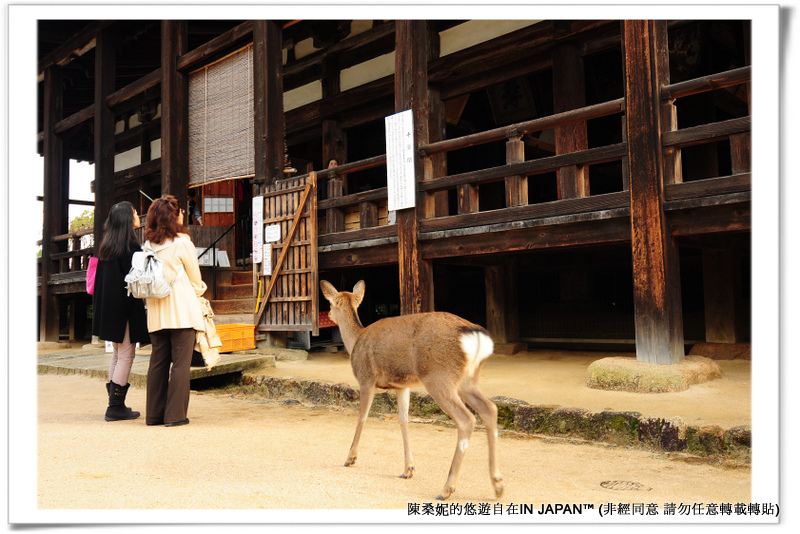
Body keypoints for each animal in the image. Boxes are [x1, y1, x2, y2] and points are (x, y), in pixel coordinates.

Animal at [320, 280, 504, 502]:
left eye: (331, 304)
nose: (329, 316)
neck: (356, 339)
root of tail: (476, 335)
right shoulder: (402, 385)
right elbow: (403, 420)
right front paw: (408, 469)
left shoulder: (366, 378)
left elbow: (362, 417)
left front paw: (350, 458)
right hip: (468, 380)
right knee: (490, 409)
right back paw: (497, 484)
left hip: (439, 377)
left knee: (467, 419)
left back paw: (447, 488)